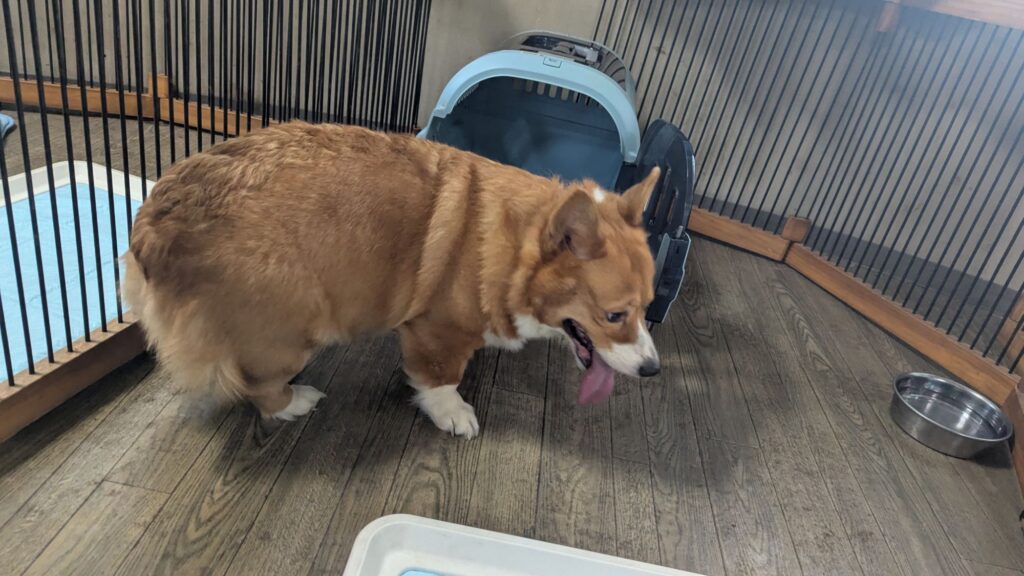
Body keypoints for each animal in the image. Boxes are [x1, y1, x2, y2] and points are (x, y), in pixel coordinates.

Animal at [123, 122, 660, 438]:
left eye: (648, 308)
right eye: (614, 315)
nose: (654, 371)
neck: (515, 245)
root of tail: (151, 228)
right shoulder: (438, 332)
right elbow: (441, 378)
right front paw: (452, 414)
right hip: (289, 329)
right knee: (258, 383)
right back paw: (294, 401)